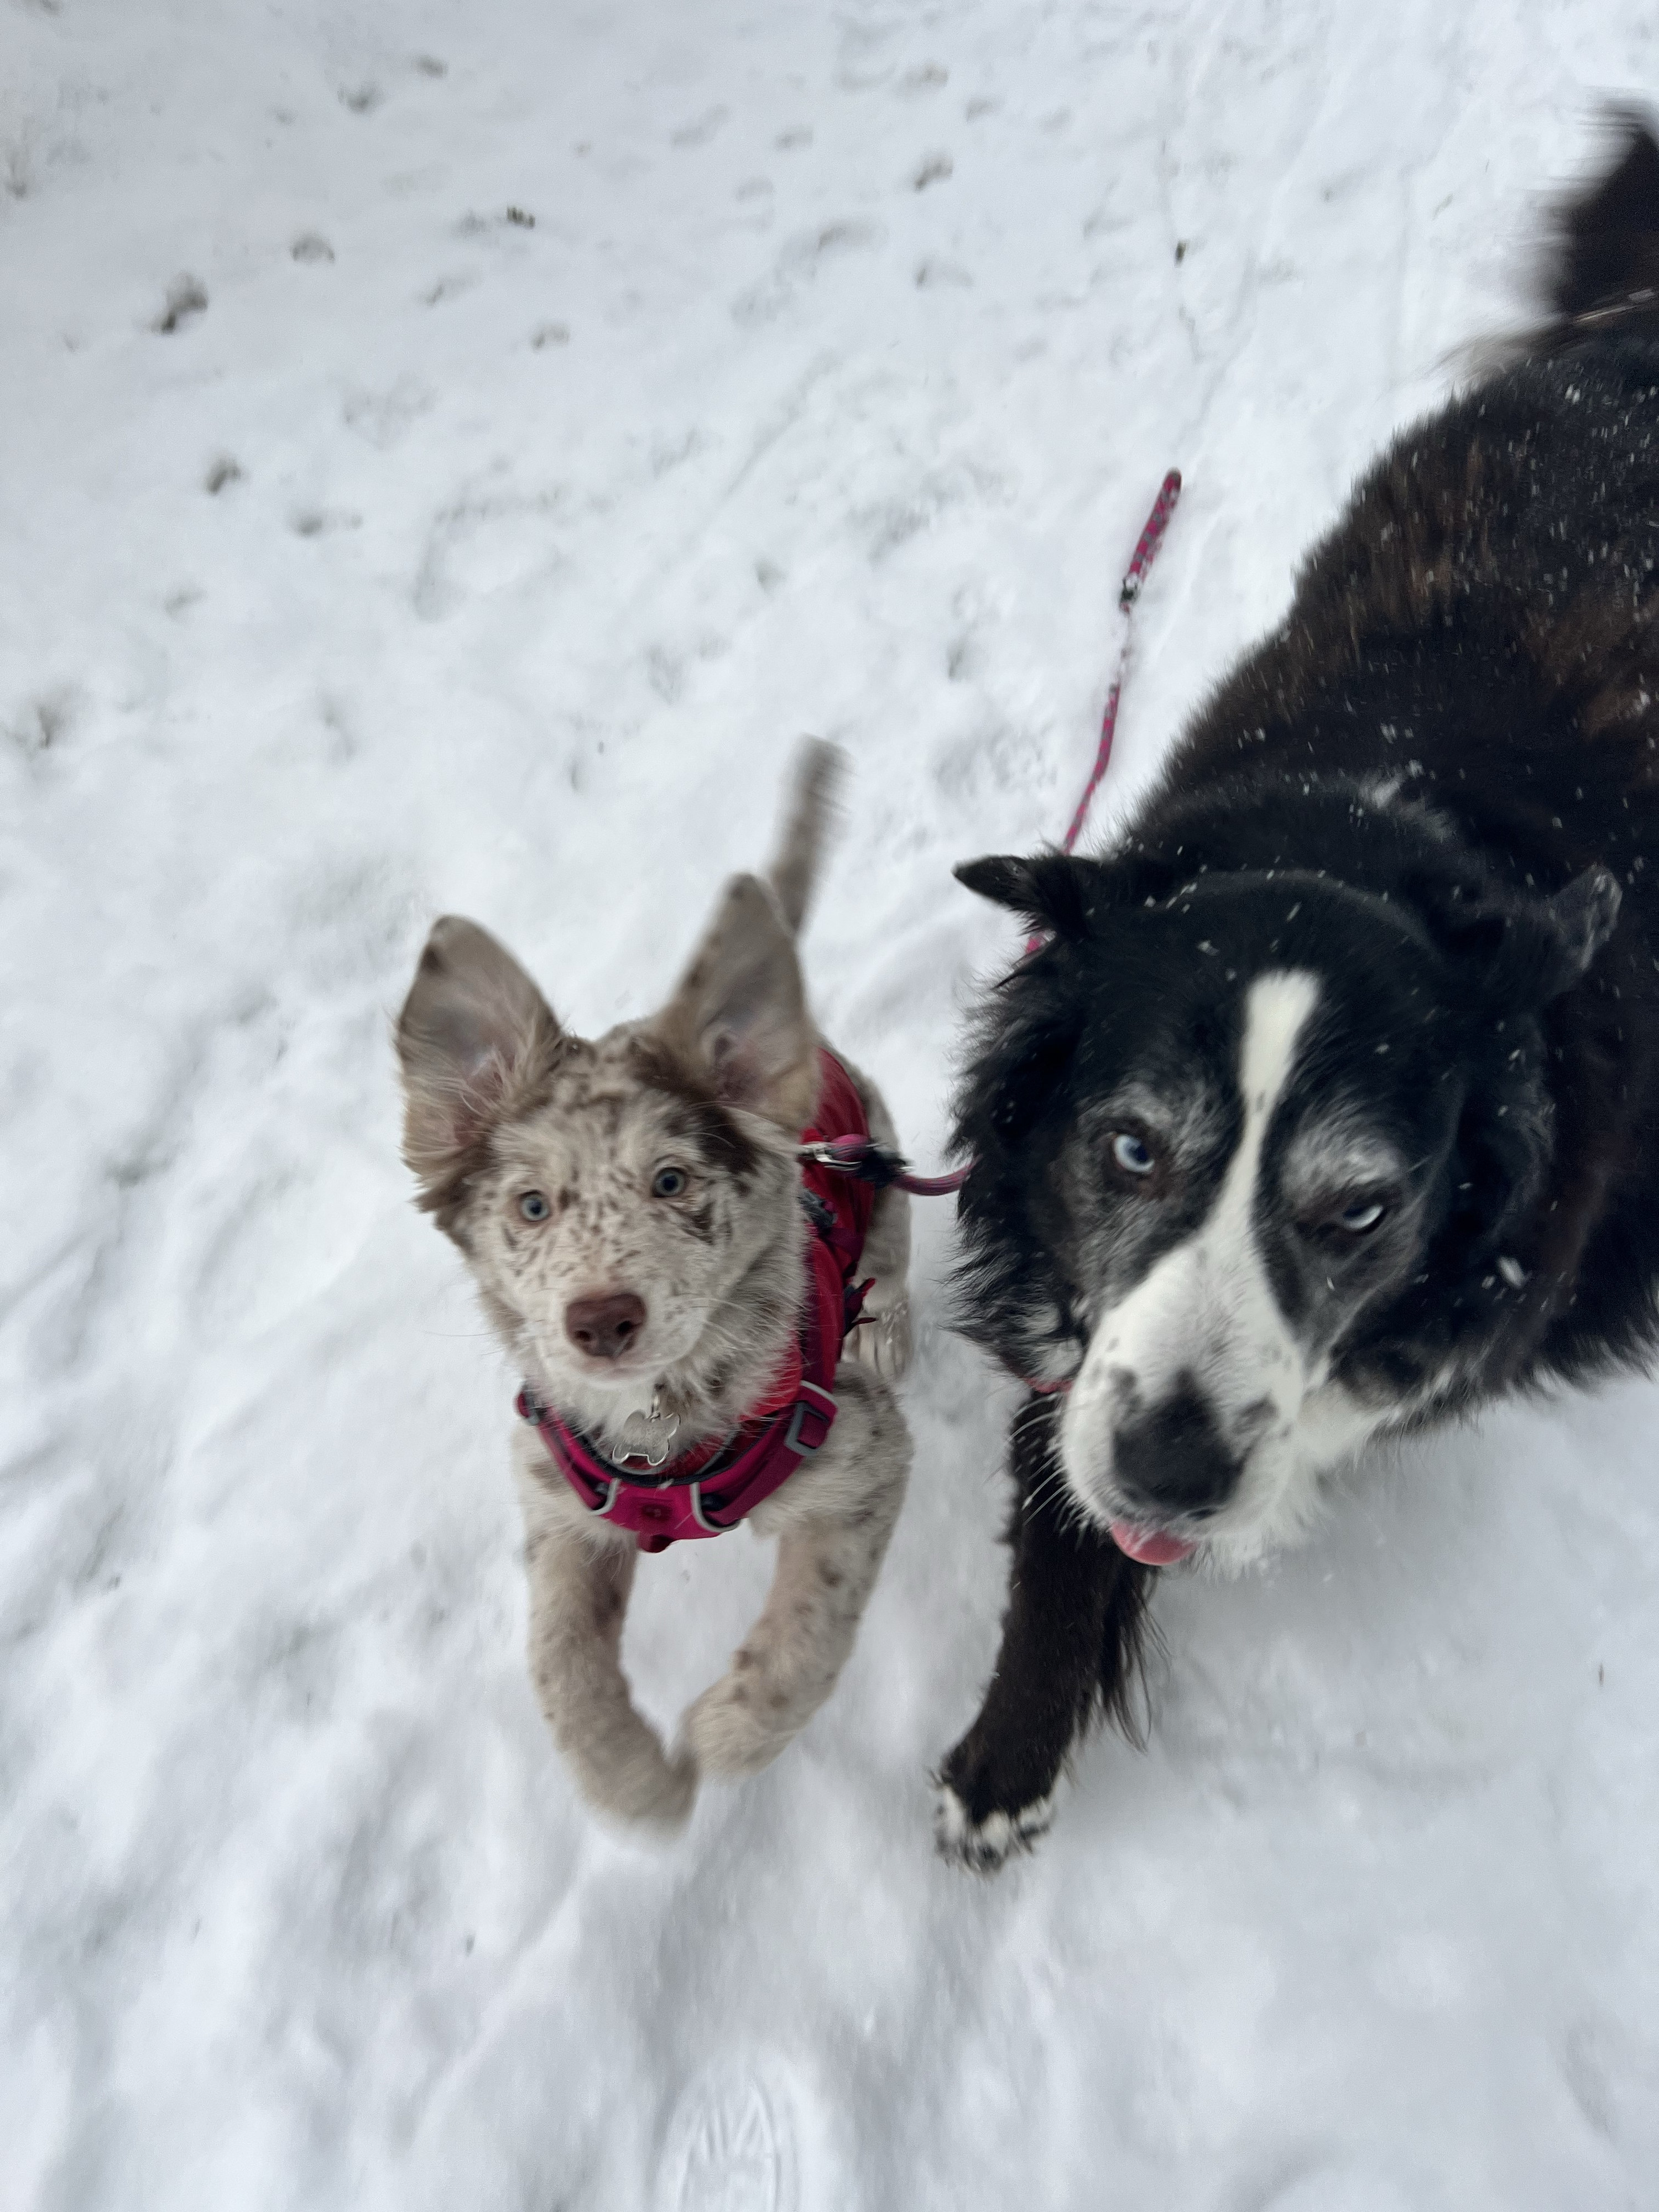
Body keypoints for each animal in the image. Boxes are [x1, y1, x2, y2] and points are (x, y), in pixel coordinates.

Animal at [938, 121, 1659, 1876]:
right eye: (1129, 1149)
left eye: (1360, 1211)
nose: (1176, 1470)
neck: (1380, 843)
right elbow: (1062, 1463)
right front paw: (1010, 1738)